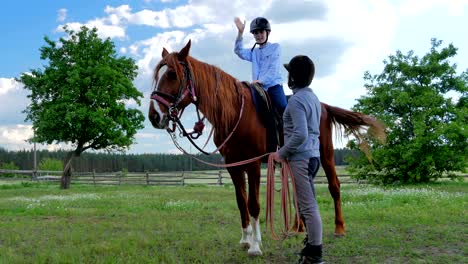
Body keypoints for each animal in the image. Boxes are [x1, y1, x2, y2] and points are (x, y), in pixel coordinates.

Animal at [149, 40, 384, 256]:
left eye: (172, 74)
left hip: (326, 155)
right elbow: (241, 202)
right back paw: (298, 226)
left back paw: (339, 228)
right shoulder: (233, 166)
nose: (154, 116)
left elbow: (253, 203)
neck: (235, 113)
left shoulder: (252, 164)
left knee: (334, 187)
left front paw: (255, 246)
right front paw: (245, 239)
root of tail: (323, 106)